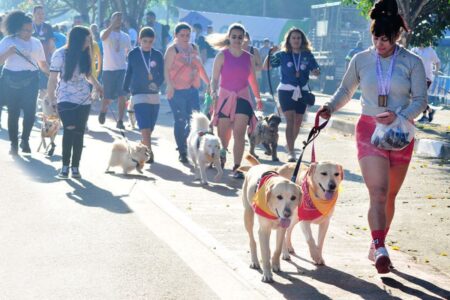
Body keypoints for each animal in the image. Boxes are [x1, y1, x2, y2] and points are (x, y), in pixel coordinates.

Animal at [241, 155, 300, 284]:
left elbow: (277, 249)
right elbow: (264, 253)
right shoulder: (263, 231)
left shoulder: (282, 229)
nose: (287, 213)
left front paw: (275, 264)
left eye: (293, 197)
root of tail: (257, 165)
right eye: (279, 197)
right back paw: (255, 261)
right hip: (248, 216)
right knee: (252, 241)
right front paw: (267, 274)